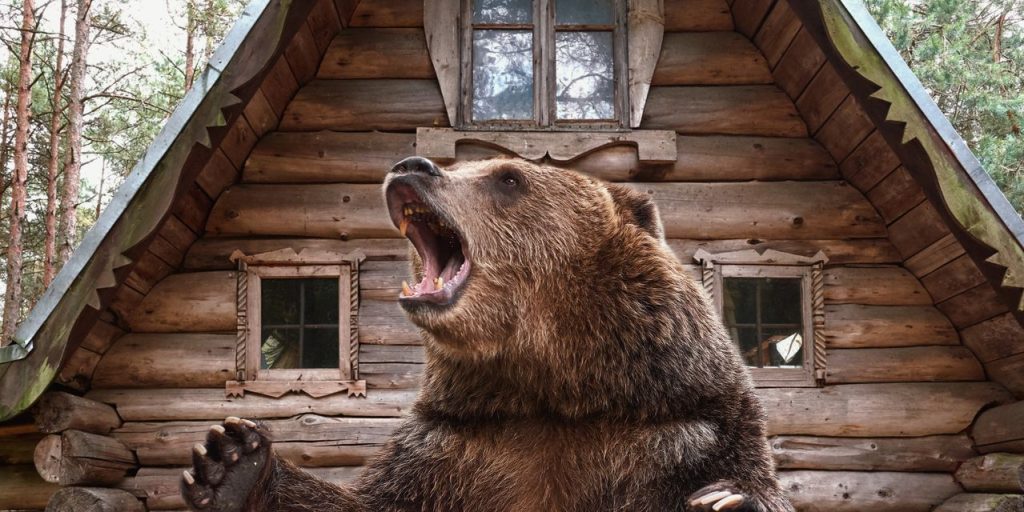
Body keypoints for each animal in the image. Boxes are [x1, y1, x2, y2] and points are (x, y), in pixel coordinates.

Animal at [181, 156, 794, 512]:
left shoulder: (686, 428)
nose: (411, 165)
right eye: (464, 163)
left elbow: (736, 478)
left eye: (508, 177)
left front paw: (729, 501)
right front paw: (231, 462)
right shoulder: (455, 445)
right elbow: (366, 503)